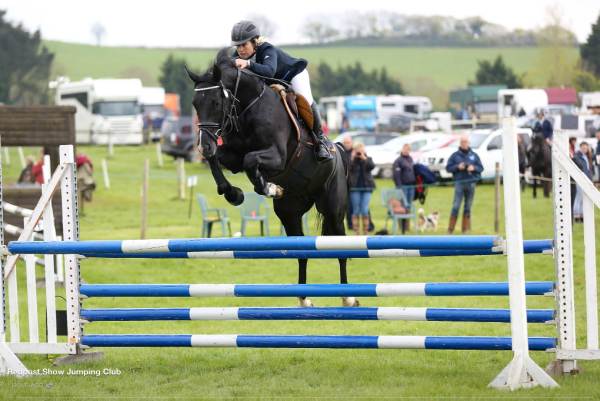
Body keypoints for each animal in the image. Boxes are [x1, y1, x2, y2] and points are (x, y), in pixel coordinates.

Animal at [188, 49, 356, 306]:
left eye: (216, 102)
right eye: (196, 104)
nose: (204, 146)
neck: (247, 108)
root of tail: (338, 151)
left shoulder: (277, 156)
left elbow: (251, 162)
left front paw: (269, 188)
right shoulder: (233, 156)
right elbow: (219, 160)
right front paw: (234, 193)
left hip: (333, 209)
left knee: (341, 248)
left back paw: (348, 298)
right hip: (290, 212)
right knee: (301, 251)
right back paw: (304, 299)